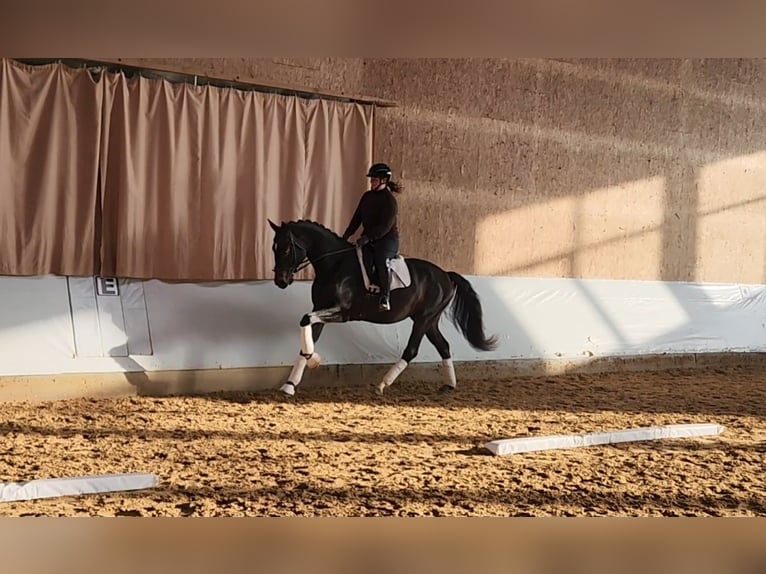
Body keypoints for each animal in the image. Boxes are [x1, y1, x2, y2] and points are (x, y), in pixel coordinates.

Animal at [267, 218, 498, 396]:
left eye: (286, 248)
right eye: (274, 248)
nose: (280, 281)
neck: (335, 265)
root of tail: (446, 275)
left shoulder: (342, 312)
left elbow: (305, 319)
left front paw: (313, 360)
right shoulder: (320, 308)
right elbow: (307, 337)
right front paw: (291, 384)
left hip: (424, 319)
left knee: (411, 350)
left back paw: (382, 384)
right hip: (429, 320)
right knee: (443, 346)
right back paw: (449, 385)